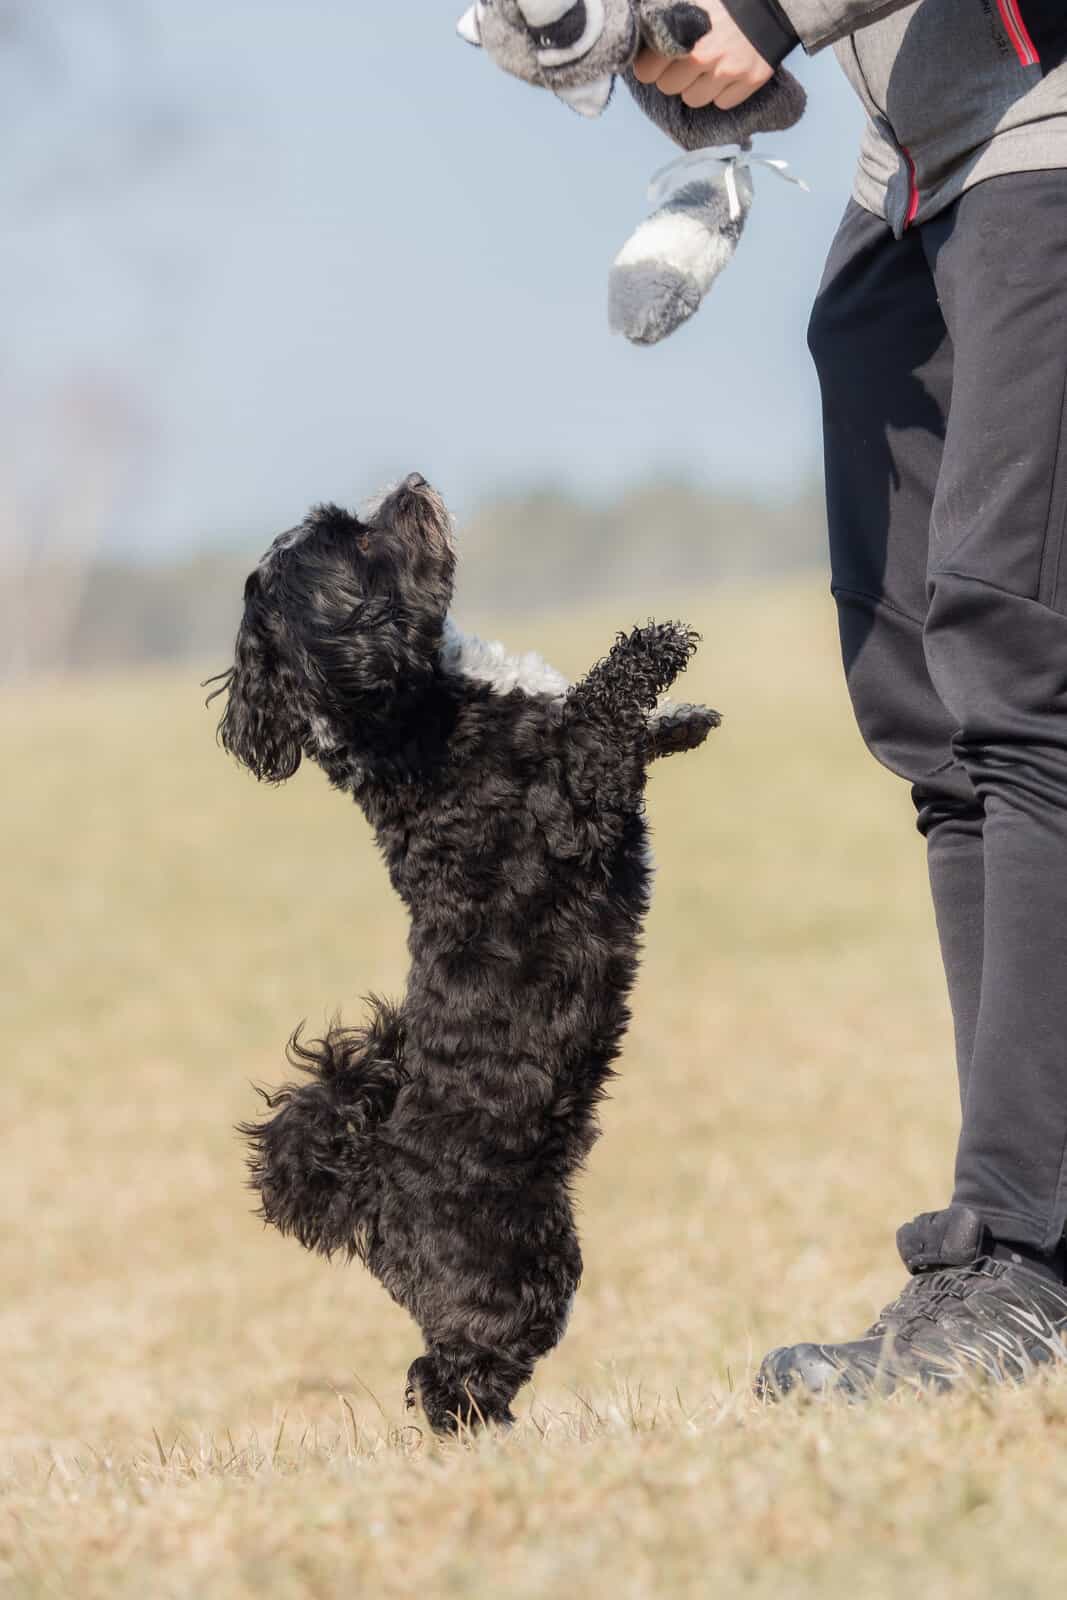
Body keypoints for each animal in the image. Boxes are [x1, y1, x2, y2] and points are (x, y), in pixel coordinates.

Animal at [211, 473, 716, 1440]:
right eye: (355, 541)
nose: (410, 485)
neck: (414, 716)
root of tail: (368, 1182)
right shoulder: (573, 807)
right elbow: (598, 714)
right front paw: (655, 647)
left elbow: (619, 728)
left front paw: (686, 718)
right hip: (517, 1270)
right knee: (449, 1375)